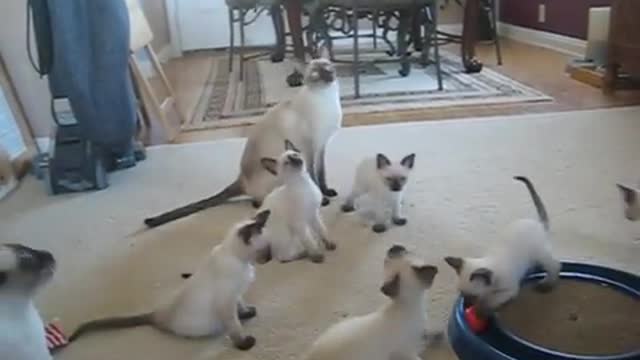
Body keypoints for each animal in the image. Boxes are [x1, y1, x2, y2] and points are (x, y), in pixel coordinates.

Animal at [70, 210, 276, 350]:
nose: (270, 258)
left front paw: (247, 312)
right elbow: (235, 327)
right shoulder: (226, 301)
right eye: (265, 250)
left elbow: (241, 306)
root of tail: (156, 313)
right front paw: (244, 343)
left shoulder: (236, 294)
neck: (241, 262)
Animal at [306, 245, 440, 360]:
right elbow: (419, 351)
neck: (405, 305)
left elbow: (429, 335)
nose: (394, 247)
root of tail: (308, 355)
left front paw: (436, 335)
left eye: (405, 252)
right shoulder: (407, 351)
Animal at [444, 176, 560, 318]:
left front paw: (482, 310)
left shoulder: (509, 290)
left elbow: (490, 301)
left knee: (555, 265)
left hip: (539, 254)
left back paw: (547, 283)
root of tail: (538, 223)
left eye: (473, 296)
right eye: (461, 293)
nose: (466, 305)